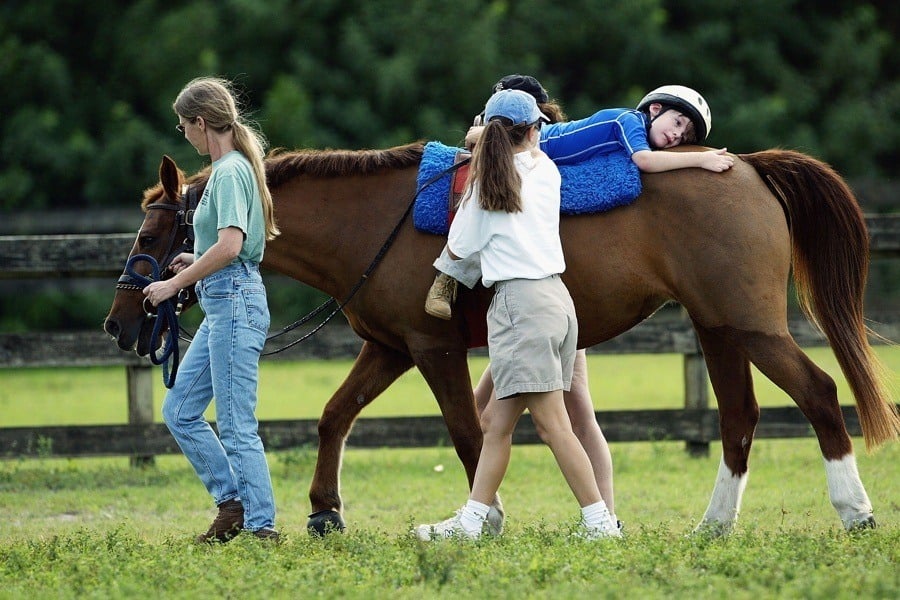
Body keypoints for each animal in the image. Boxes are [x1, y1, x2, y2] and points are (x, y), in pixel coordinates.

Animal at [105, 143, 900, 536]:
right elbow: (335, 417)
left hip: (752, 326)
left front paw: (485, 517)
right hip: (719, 329)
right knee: (739, 418)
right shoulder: (390, 348)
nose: (119, 321)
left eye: (150, 235)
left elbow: (467, 433)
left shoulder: (432, 350)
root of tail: (749, 169)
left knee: (819, 393)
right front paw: (325, 509)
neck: (376, 220)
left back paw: (855, 511)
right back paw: (714, 524)